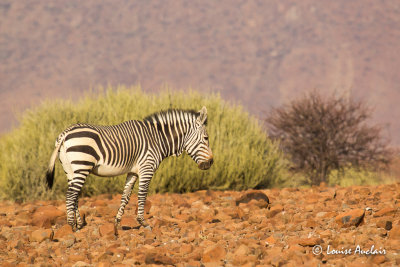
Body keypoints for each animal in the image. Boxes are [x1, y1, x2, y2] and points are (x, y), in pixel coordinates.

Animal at [45, 107, 214, 234]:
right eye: (206, 138)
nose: (211, 163)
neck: (158, 139)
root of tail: (65, 134)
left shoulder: (133, 172)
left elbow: (125, 197)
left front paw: (116, 224)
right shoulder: (147, 168)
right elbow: (142, 195)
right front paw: (143, 223)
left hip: (70, 169)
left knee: (74, 196)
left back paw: (79, 224)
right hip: (82, 165)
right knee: (71, 195)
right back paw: (72, 226)